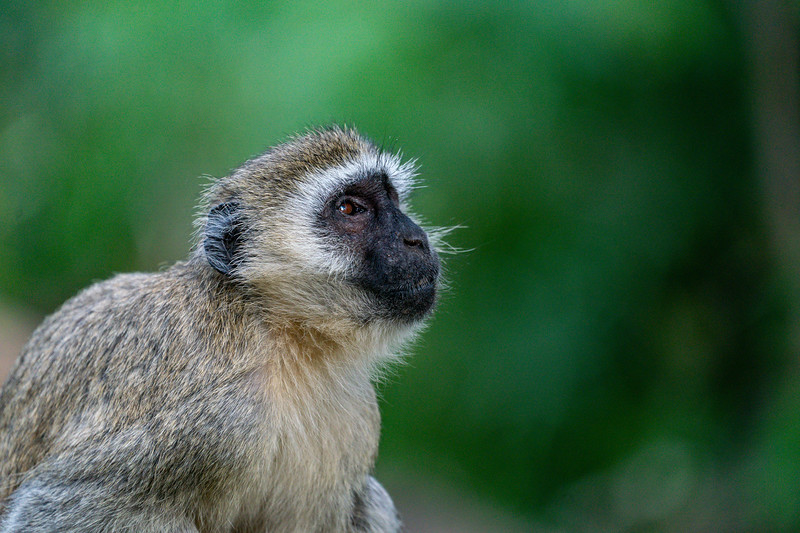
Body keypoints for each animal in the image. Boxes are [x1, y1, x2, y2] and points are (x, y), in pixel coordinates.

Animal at [0, 126, 441, 532]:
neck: (280, 335)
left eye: (394, 200)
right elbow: (60, 506)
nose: (415, 238)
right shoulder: (219, 420)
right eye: (350, 209)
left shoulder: (357, 419)